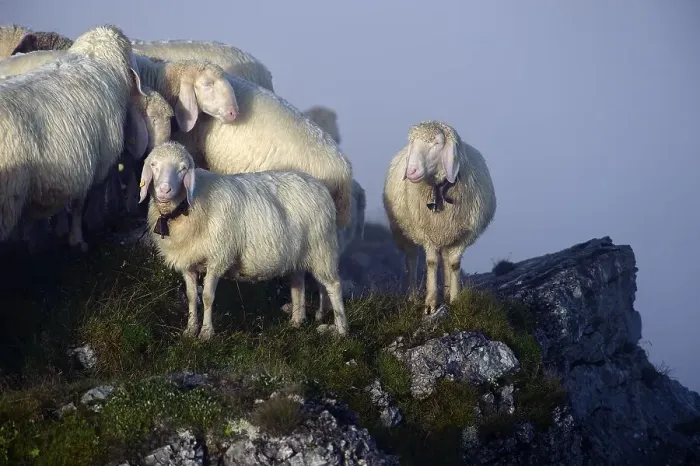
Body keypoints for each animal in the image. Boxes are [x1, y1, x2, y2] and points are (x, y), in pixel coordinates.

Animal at [138, 141, 349, 340]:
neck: (188, 205)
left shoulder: (218, 258)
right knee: (300, 284)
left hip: (322, 248)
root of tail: (319, 185)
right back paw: (298, 321)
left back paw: (340, 331)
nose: (164, 190)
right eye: (154, 165)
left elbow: (207, 297)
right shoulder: (187, 261)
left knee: (333, 286)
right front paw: (190, 330)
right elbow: (191, 297)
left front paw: (206, 333)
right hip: (299, 253)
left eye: (183, 168)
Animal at [382, 120, 497, 314]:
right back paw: (413, 297)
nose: (411, 171)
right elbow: (431, 262)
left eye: (437, 143)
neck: (439, 189)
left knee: (445, 259)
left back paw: (447, 292)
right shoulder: (427, 233)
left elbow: (454, 264)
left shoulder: (463, 234)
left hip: (446, 234)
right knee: (411, 260)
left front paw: (455, 299)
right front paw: (430, 303)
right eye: (412, 143)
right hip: (403, 231)